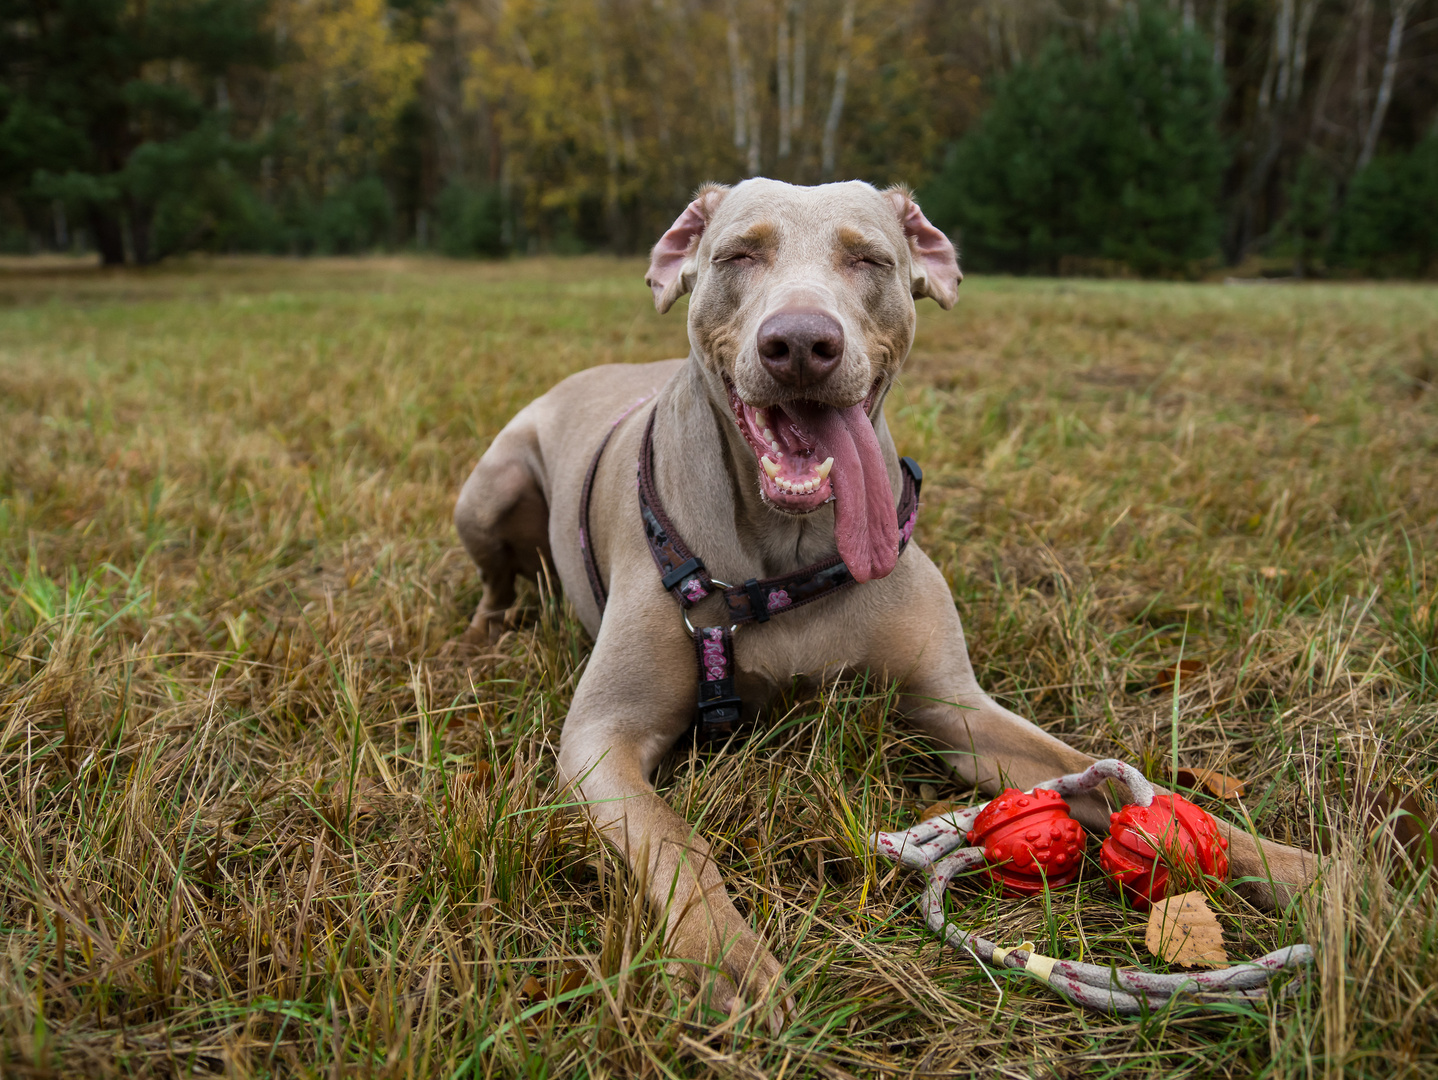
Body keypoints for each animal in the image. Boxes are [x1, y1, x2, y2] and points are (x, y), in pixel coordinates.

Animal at [454, 177, 1317, 1023]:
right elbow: (674, 839)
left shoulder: (957, 709)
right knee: (498, 577)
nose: (801, 343)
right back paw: (489, 632)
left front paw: (1316, 877)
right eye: (738, 254)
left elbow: (1098, 774)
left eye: (868, 258)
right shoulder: (602, 741)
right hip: (490, 488)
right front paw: (722, 958)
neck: (791, 549)